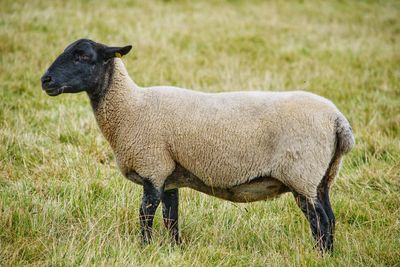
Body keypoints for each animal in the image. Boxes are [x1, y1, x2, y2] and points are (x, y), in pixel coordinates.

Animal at [39, 39, 354, 253]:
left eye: (82, 56)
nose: (45, 80)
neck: (131, 107)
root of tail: (338, 120)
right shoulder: (169, 174)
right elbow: (171, 218)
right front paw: (174, 249)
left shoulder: (153, 168)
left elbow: (145, 215)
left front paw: (143, 249)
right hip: (322, 177)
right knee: (330, 218)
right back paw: (328, 254)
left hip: (302, 174)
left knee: (320, 221)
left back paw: (319, 255)